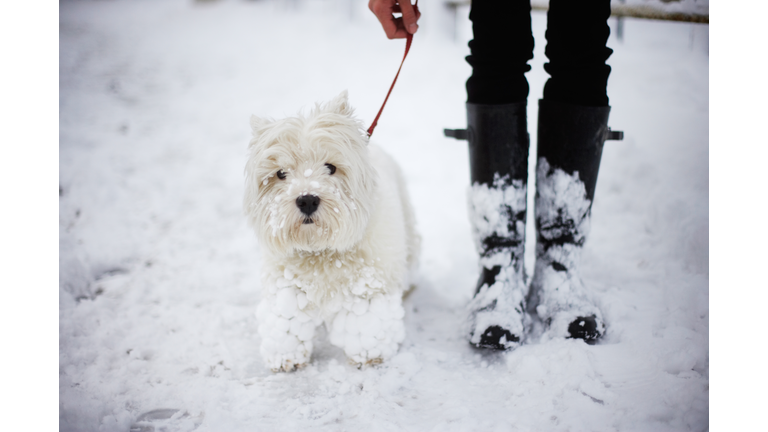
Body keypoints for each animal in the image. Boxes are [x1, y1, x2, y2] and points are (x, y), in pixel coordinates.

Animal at [244, 91, 420, 372]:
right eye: (281, 173)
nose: (307, 200)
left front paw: (369, 355)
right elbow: (286, 321)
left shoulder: (366, 286)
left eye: (330, 167)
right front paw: (284, 357)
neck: (319, 251)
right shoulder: (286, 285)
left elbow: (367, 324)